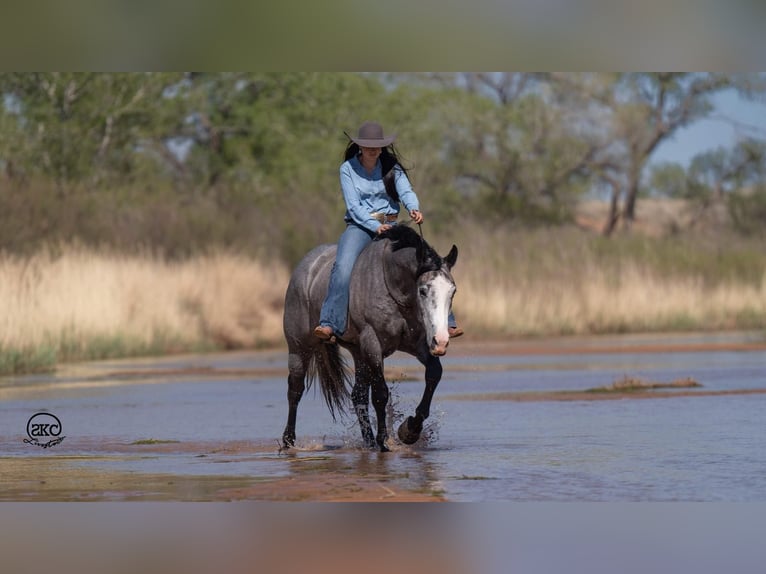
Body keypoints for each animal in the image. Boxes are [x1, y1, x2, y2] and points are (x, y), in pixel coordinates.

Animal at [284, 225, 460, 454]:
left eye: (452, 291)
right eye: (423, 290)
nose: (441, 341)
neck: (392, 285)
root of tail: (305, 267)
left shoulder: (418, 344)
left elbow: (433, 375)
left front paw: (409, 430)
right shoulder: (373, 345)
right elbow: (380, 393)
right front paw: (384, 440)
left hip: (358, 353)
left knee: (357, 395)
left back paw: (367, 441)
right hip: (299, 348)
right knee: (295, 389)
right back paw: (288, 440)